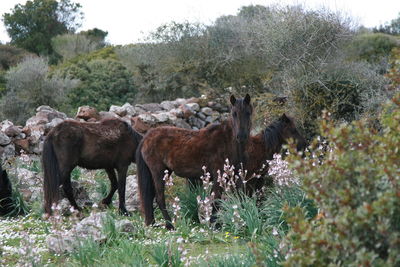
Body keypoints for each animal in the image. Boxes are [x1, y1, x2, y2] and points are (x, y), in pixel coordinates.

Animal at [136, 94, 252, 230]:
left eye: (248, 113)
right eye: (234, 113)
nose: (241, 136)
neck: (227, 141)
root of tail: (146, 137)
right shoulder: (218, 177)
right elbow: (216, 200)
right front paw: (214, 224)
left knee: (151, 198)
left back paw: (153, 223)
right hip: (158, 172)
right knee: (159, 198)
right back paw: (170, 225)